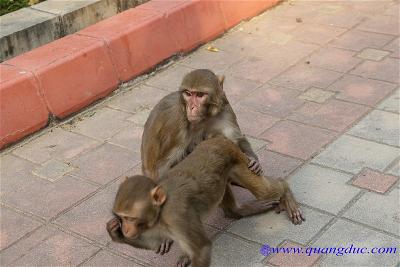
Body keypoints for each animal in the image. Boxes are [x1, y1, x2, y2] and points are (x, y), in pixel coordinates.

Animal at [106, 137, 304, 266]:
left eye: (130, 218)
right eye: (122, 218)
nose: (126, 229)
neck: (161, 210)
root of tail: (217, 139)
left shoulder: (176, 216)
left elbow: (201, 249)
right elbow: (155, 242)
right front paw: (113, 231)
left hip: (237, 159)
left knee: (265, 191)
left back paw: (284, 191)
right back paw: (239, 211)